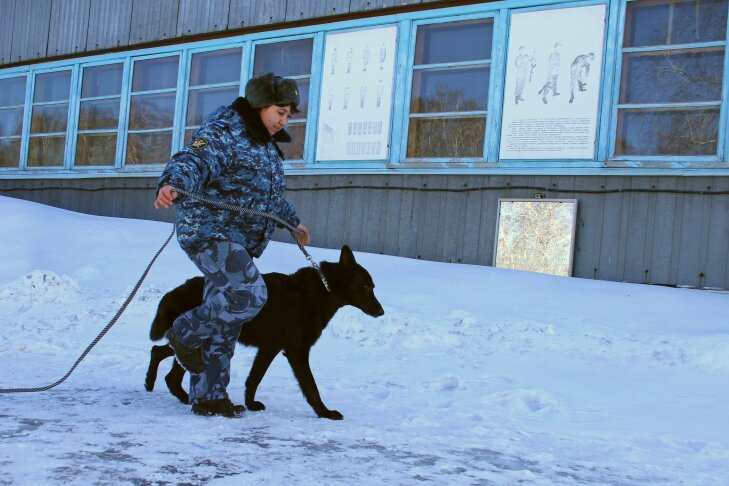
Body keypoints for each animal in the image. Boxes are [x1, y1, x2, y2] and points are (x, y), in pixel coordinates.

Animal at [147, 245, 386, 420]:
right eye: (366, 287)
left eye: (373, 286)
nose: (381, 311)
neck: (324, 289)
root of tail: (172, 293)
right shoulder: (297, 351)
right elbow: (311, 387)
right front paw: (324, 412)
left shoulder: (270, 348)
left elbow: (254, 378)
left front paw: (250, 403)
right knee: (169, 361)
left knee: (165, 359)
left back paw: (169, 390)